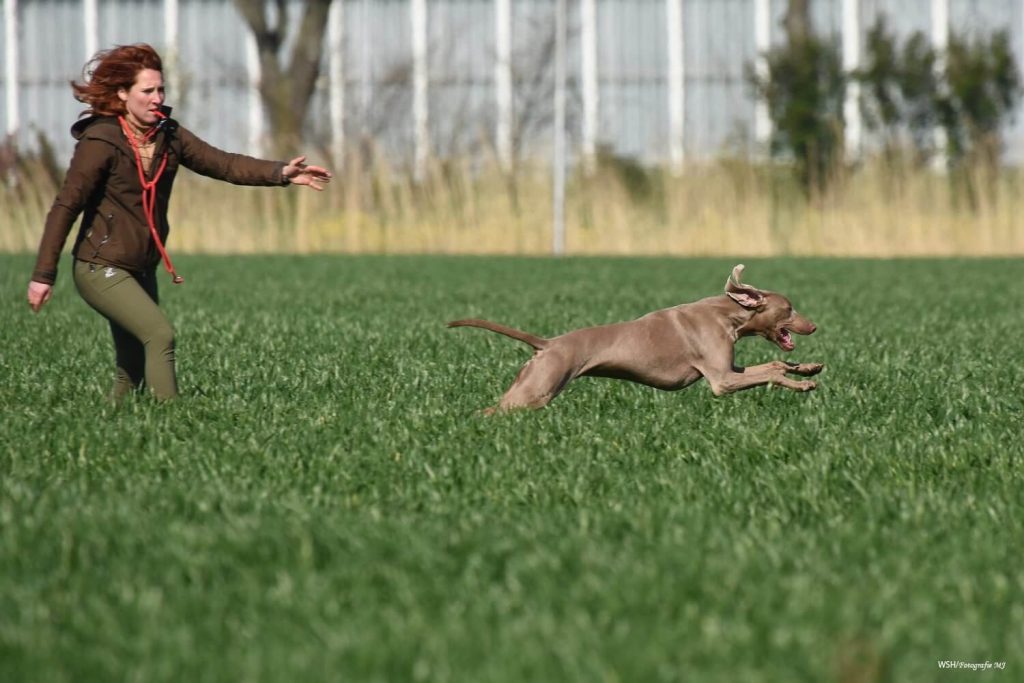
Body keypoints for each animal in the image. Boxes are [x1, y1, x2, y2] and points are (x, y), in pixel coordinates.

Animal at [448, 264, 823, 411]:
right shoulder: (722, 380)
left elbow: (773, 363)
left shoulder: (730, 369)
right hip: (536, 390)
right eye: (789, 309)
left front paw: (807, 368)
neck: (726, 313)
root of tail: (549, 344)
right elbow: (771, 371)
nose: (814, 326)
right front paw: (802, 383)